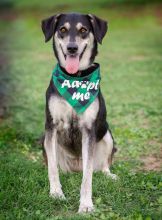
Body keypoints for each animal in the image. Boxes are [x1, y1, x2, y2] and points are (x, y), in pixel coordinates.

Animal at [41, 12, 117, 212]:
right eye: (62, 29)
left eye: (83, 30)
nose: (72, 48)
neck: (74, 78)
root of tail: (75, 168)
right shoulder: (51, 126)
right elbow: (52, 168)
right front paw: (56, 193)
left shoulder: (89, 130)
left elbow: (88, 176)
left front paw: (86, 205)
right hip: (43, 139)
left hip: (107, 135)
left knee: (102, 165)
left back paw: (109, 175)